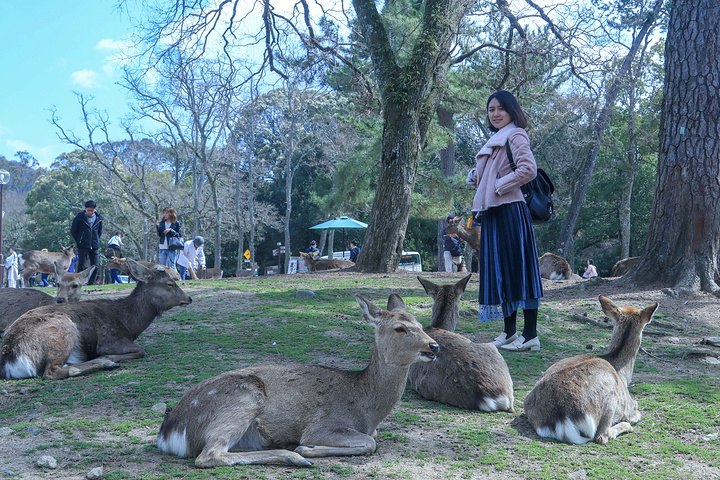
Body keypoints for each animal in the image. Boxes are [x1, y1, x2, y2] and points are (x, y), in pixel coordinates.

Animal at [0, 260, 191, 380]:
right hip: (64, 328)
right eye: (170, 284)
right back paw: (105, 362)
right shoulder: (110, 339)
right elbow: (140, 350)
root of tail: (11, 359)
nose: (188, 298)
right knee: (51, 372)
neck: (128, 323)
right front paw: (109, 357)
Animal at [158, 294, 438, 466]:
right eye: (400, 328)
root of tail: (168, 432)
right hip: (243, 397)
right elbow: (370, 443)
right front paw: (307, 449)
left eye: (420, 324)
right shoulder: (322, 425)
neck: (367, 410)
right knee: (209, 454)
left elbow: (372, 439)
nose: (433, 346)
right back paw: (294, 457)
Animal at [524, 296, 660, 446]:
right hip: (610, 396)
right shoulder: (629, 407)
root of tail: (561, 419)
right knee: (602, 436)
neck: (624, 375)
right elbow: (637, 411)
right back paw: (626, 426)